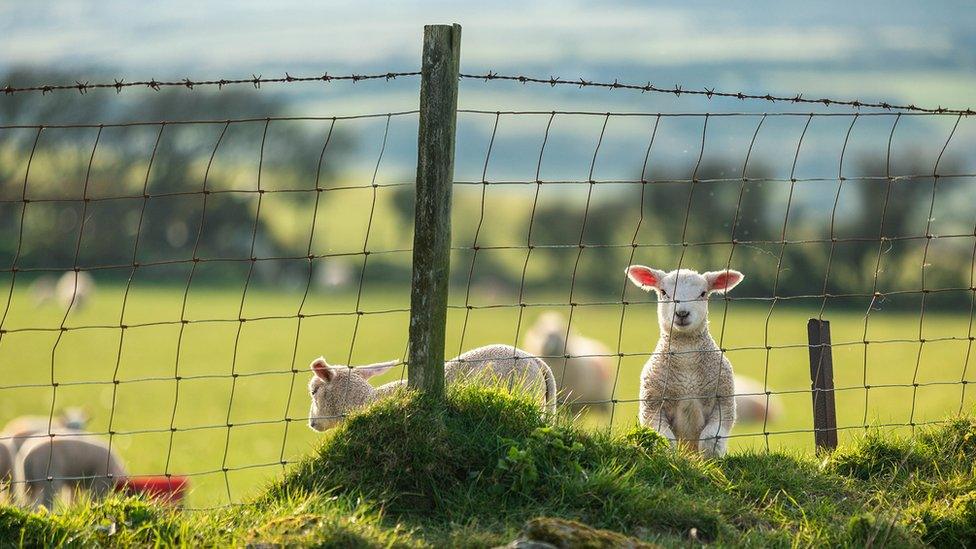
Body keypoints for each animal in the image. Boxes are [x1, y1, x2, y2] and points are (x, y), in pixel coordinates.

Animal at [624, 264, 748, 456]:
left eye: (703, 293)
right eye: (664, 292)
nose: (682, 313)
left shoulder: (724, 403)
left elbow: (710, 440)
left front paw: (711, 461)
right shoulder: (652, 407)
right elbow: (666, 441)